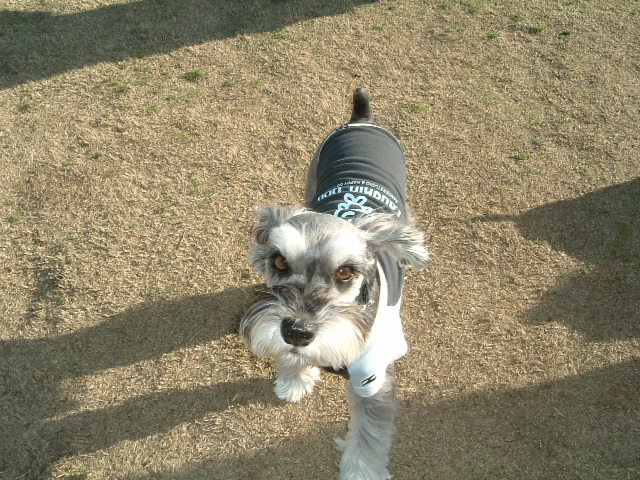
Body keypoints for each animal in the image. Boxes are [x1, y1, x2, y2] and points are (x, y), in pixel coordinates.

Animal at [240, 88, 428, 480]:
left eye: (345, 272)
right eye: (279, 260)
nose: (297, 331)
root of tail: (362, 120)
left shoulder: (374, 381)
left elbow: (368, 438)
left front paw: (361, 473)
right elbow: (292, 359)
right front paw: (294, 380)